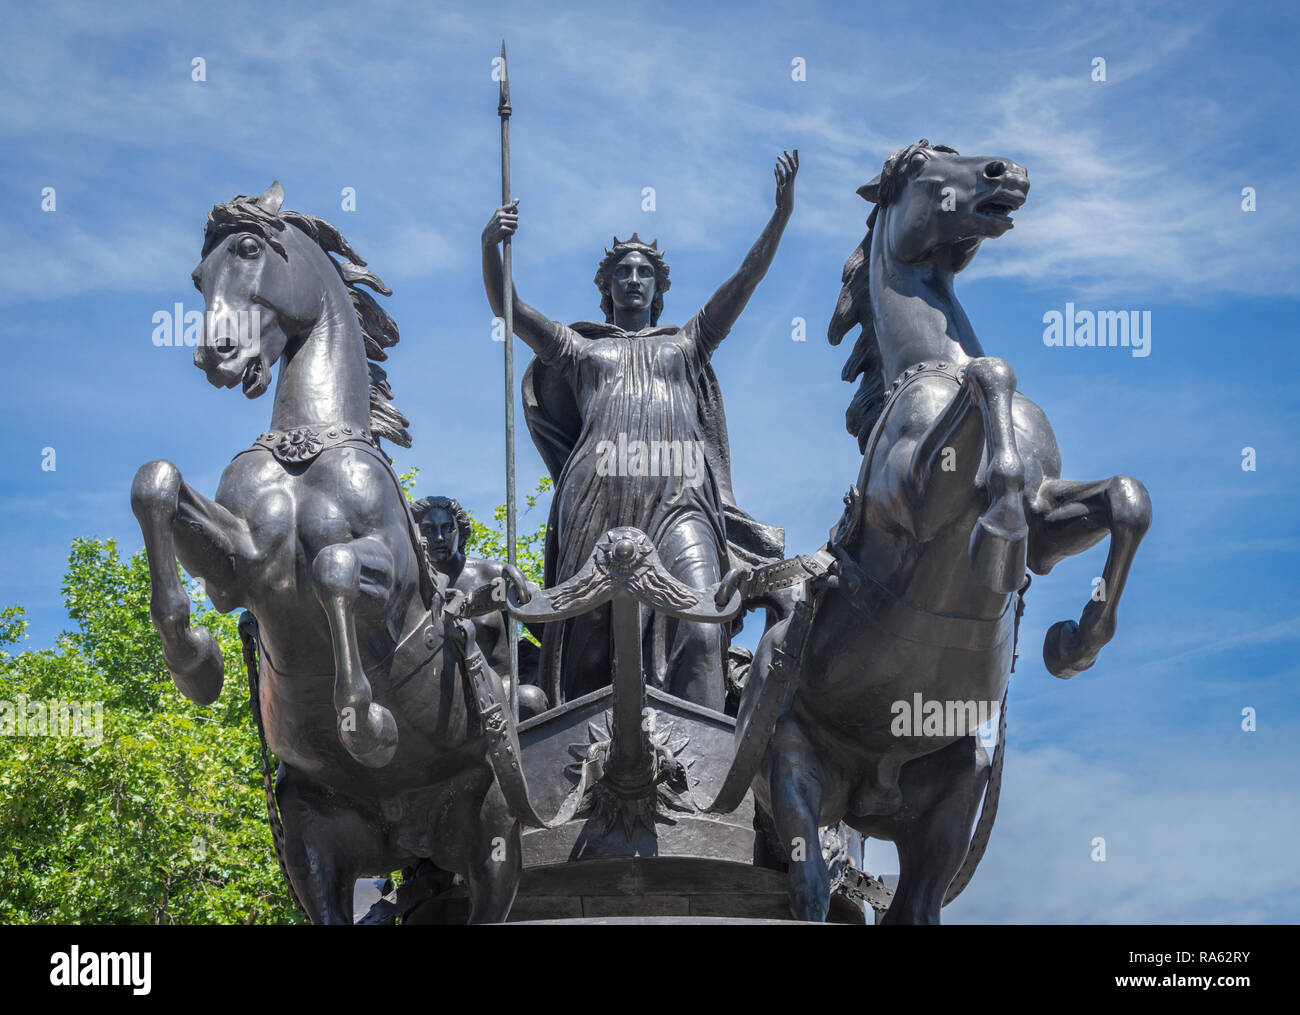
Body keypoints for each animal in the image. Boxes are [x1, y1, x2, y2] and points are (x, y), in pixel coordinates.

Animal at [130, 184, 533, 925]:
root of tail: (410, 837)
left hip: (493, 835)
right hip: (313, 846)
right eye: (198, 278)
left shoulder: (393, 574)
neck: (307, 443)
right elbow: (157, 482)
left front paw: (366, 724)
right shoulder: (241, 565)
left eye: (249, 249)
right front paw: (196, 661)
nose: (216, 357)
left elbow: (332, 568)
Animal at [733, 144, 1149, 925]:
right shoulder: (913, 499)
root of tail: (871, 786)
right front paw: (996, 535)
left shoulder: (1052, 522)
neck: (933, 365)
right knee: (809, 889)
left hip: (951, 801)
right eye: (923, 164)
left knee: (914, 907)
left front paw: (1072, 642)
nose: (1006, 172)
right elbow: (992, 374)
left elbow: (1125, 499)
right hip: (795, 778)